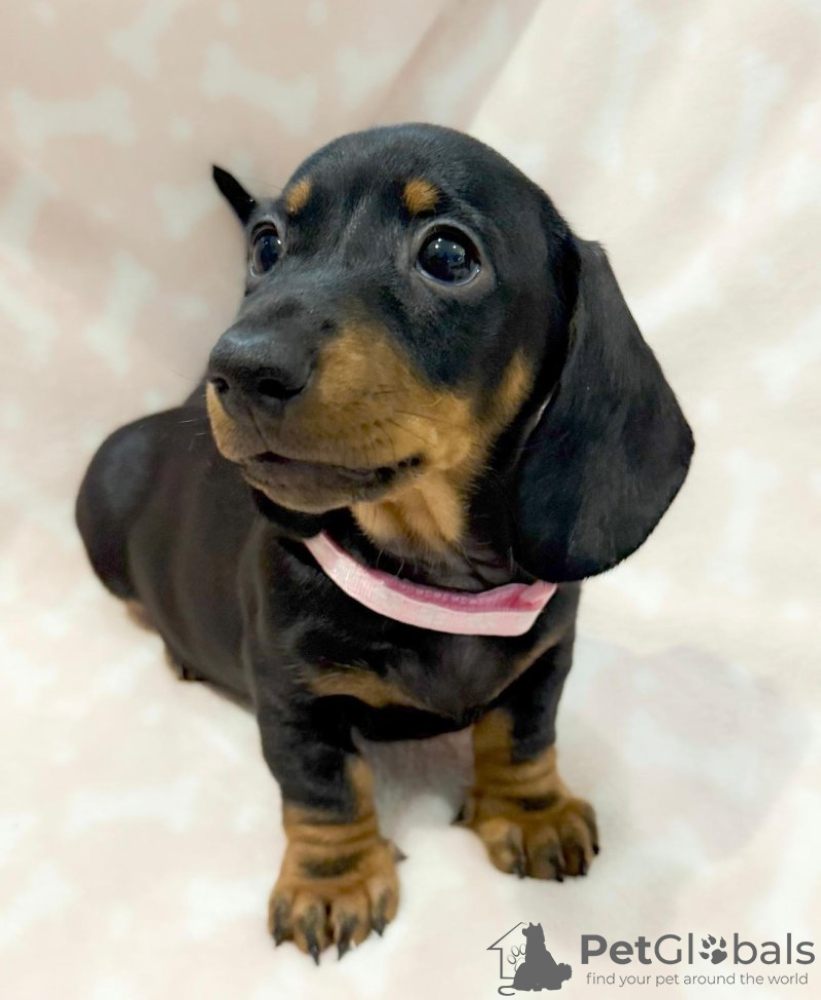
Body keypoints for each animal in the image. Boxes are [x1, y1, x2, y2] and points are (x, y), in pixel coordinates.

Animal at [76, 123, 693, 962]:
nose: (236, 368)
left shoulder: (545, 657)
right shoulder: (292, 699)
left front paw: (529, 812)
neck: (429, 572)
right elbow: (323, 789)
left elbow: (524, 736)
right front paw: (331, 882)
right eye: (266, 245)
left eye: (448, 255)